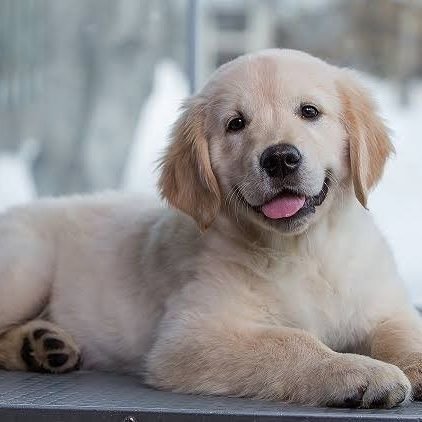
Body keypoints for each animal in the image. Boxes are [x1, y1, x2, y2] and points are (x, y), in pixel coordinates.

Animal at [0, 49, 422, 408]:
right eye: (236, 124)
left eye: (309, 112)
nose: (280, 159)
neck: (303, 249)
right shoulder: (191, 335)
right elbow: (292, 341)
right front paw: (359, 372)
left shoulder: (386, 306)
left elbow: (404, 333)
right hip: (27, 267)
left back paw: (41, 346)